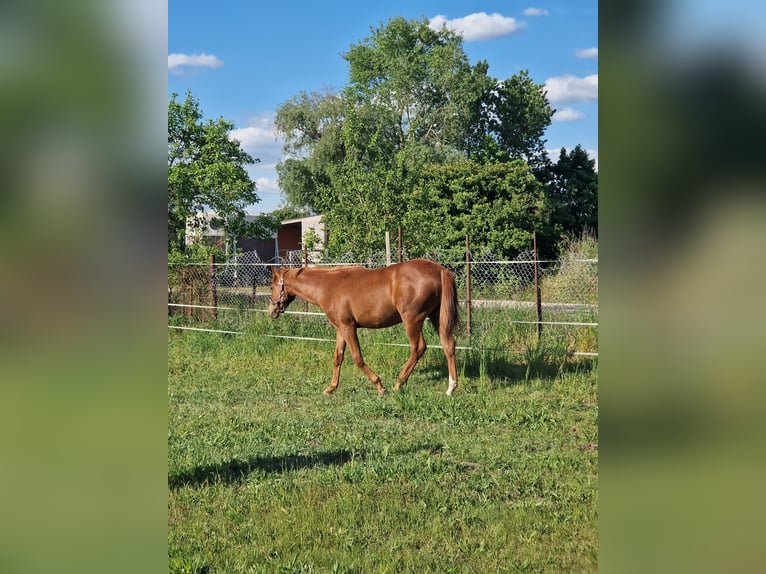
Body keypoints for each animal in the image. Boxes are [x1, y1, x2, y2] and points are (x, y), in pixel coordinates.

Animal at [270, 260, 460, 396]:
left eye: (272, 286)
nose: (271, 311)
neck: (328, 286)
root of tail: (439, 270)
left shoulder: (348, 327)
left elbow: (357, 358)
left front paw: (379, 385)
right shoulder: (340, 329)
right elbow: (338, 357)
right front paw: (331, 387)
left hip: (412, 320)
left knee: (418, 347)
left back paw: (399, 383)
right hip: (437, 318)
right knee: (448, 345)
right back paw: (451, 387)